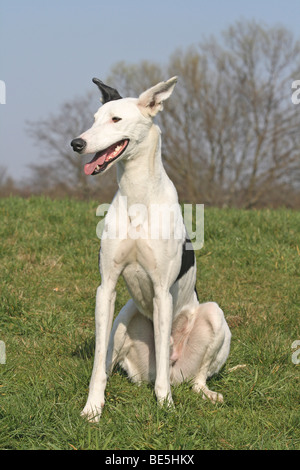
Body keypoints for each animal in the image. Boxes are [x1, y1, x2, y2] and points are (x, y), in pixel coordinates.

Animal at [71, 77, 231, 422]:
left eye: (116, 119)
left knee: (195, 377)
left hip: (213, 317)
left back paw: (204, 393)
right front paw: (93, 407)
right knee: (111, 361)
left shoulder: (161, 292)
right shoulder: (106, 288)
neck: (137, 194)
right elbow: (97, 365)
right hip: (122, 319)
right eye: (94, 119)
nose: (76, 143)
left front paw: (165, 405)